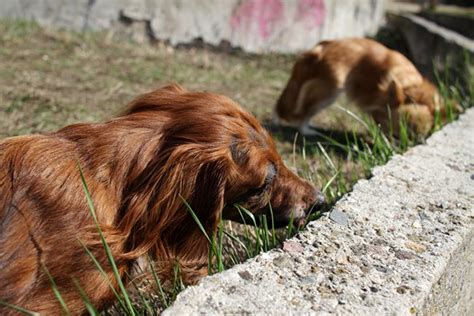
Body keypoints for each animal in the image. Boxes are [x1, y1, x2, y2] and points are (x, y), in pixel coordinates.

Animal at [274, 37, 448, 136]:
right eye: (399, 135)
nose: (402, 146)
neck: (411, 88)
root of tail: (319, 49)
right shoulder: (377, 106)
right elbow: (381, 124)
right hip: (329, 90)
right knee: (304, 112)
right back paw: (306, 130)